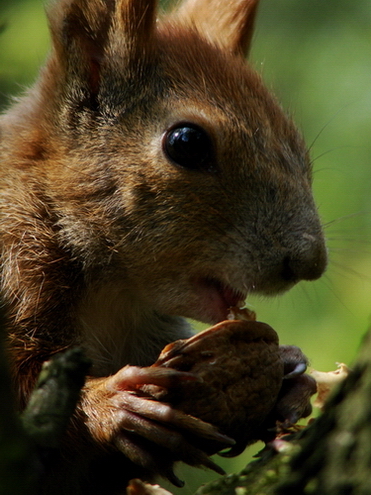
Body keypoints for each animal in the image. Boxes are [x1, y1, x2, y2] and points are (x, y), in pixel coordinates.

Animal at [0, 0, 326, 494]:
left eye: (296, 141)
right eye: (186, 143)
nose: (310, 263)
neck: (112, 293)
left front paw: (291, 372)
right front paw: (112, 405)